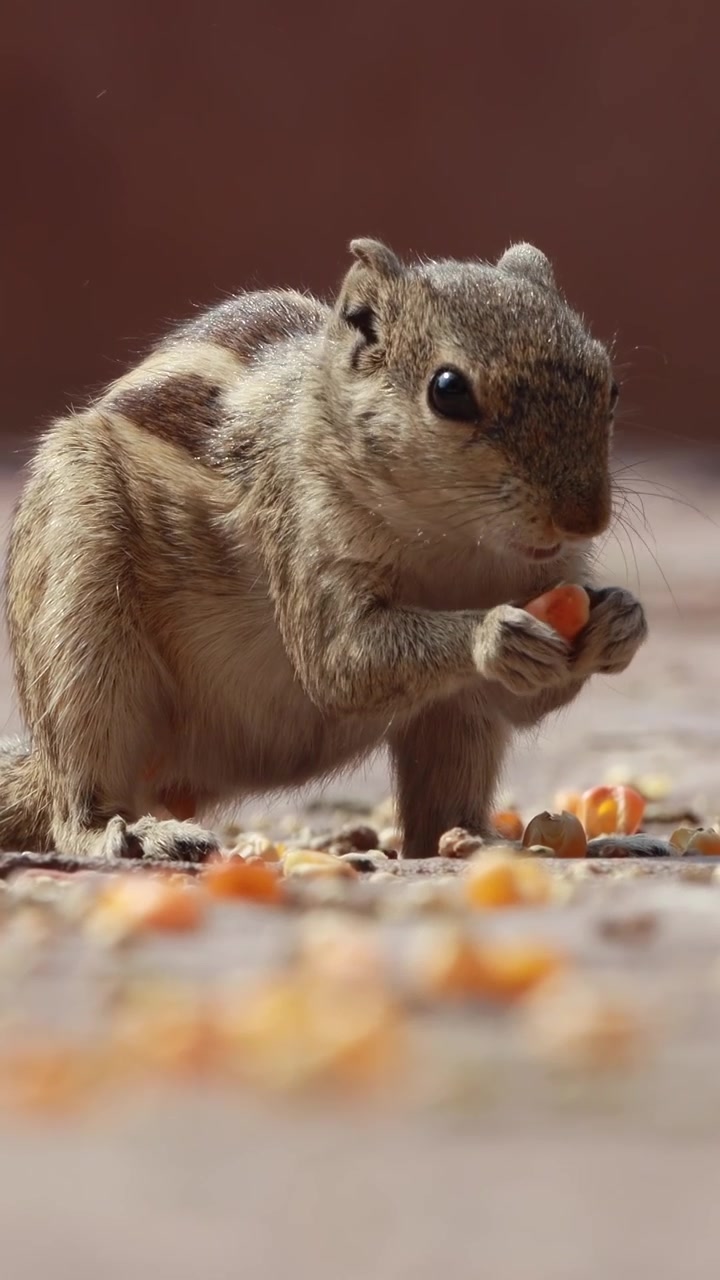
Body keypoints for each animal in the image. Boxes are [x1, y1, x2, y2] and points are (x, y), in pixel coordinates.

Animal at [0, 238, 647, 860]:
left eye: (612, 387)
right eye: (448, 391)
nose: (585, 518)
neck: (453, 548)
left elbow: (522, 701)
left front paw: (621, 619)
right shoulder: (306, 538)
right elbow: (342, 659)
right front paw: (495, 633)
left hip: (454, 720)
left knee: (435, 814)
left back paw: (488, 840)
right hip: (82, 619)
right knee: (77, 800)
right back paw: (134, 833)